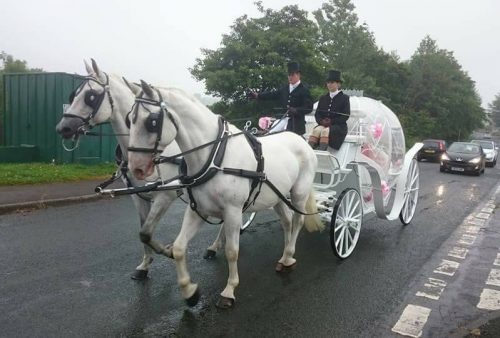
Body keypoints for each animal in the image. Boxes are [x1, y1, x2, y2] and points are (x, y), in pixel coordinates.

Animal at [127, 80, 322, 308]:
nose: (136, 168)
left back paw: (289, 256)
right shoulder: (197, 210)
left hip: (298, 193)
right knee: (287, 221)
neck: (214, 157)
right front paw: (190, 292)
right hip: (278, 196)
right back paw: (284, 257)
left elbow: (231, 251)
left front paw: (229, 290)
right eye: (130, 119)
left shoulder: (233, 211)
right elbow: (179, 247)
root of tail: (301, 141)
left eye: (152, 122)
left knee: (298, 221)